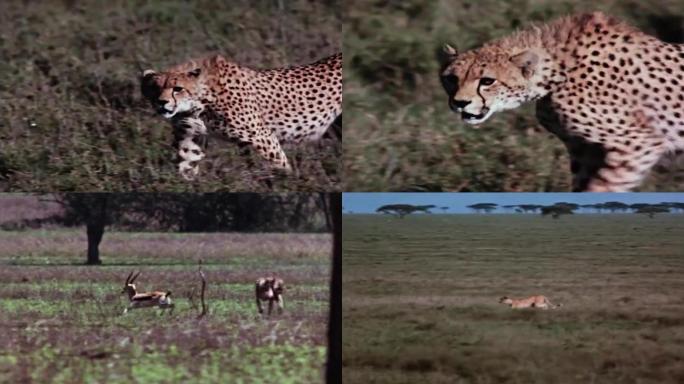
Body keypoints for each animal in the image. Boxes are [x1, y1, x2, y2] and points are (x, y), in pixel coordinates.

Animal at [141, 52, 342, 180]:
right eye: (154, 88)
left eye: (177, 89)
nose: (162, 102)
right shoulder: (189, 137)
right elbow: (187, 163)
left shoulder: (263, 137)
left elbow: (281, 166)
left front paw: (289, 185)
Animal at [440, 11, 680, 191]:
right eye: (452, 79)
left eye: (487, 81)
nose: (460, 103)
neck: (558, 70)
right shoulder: (585, 151)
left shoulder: (641, 142)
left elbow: (600, 189)